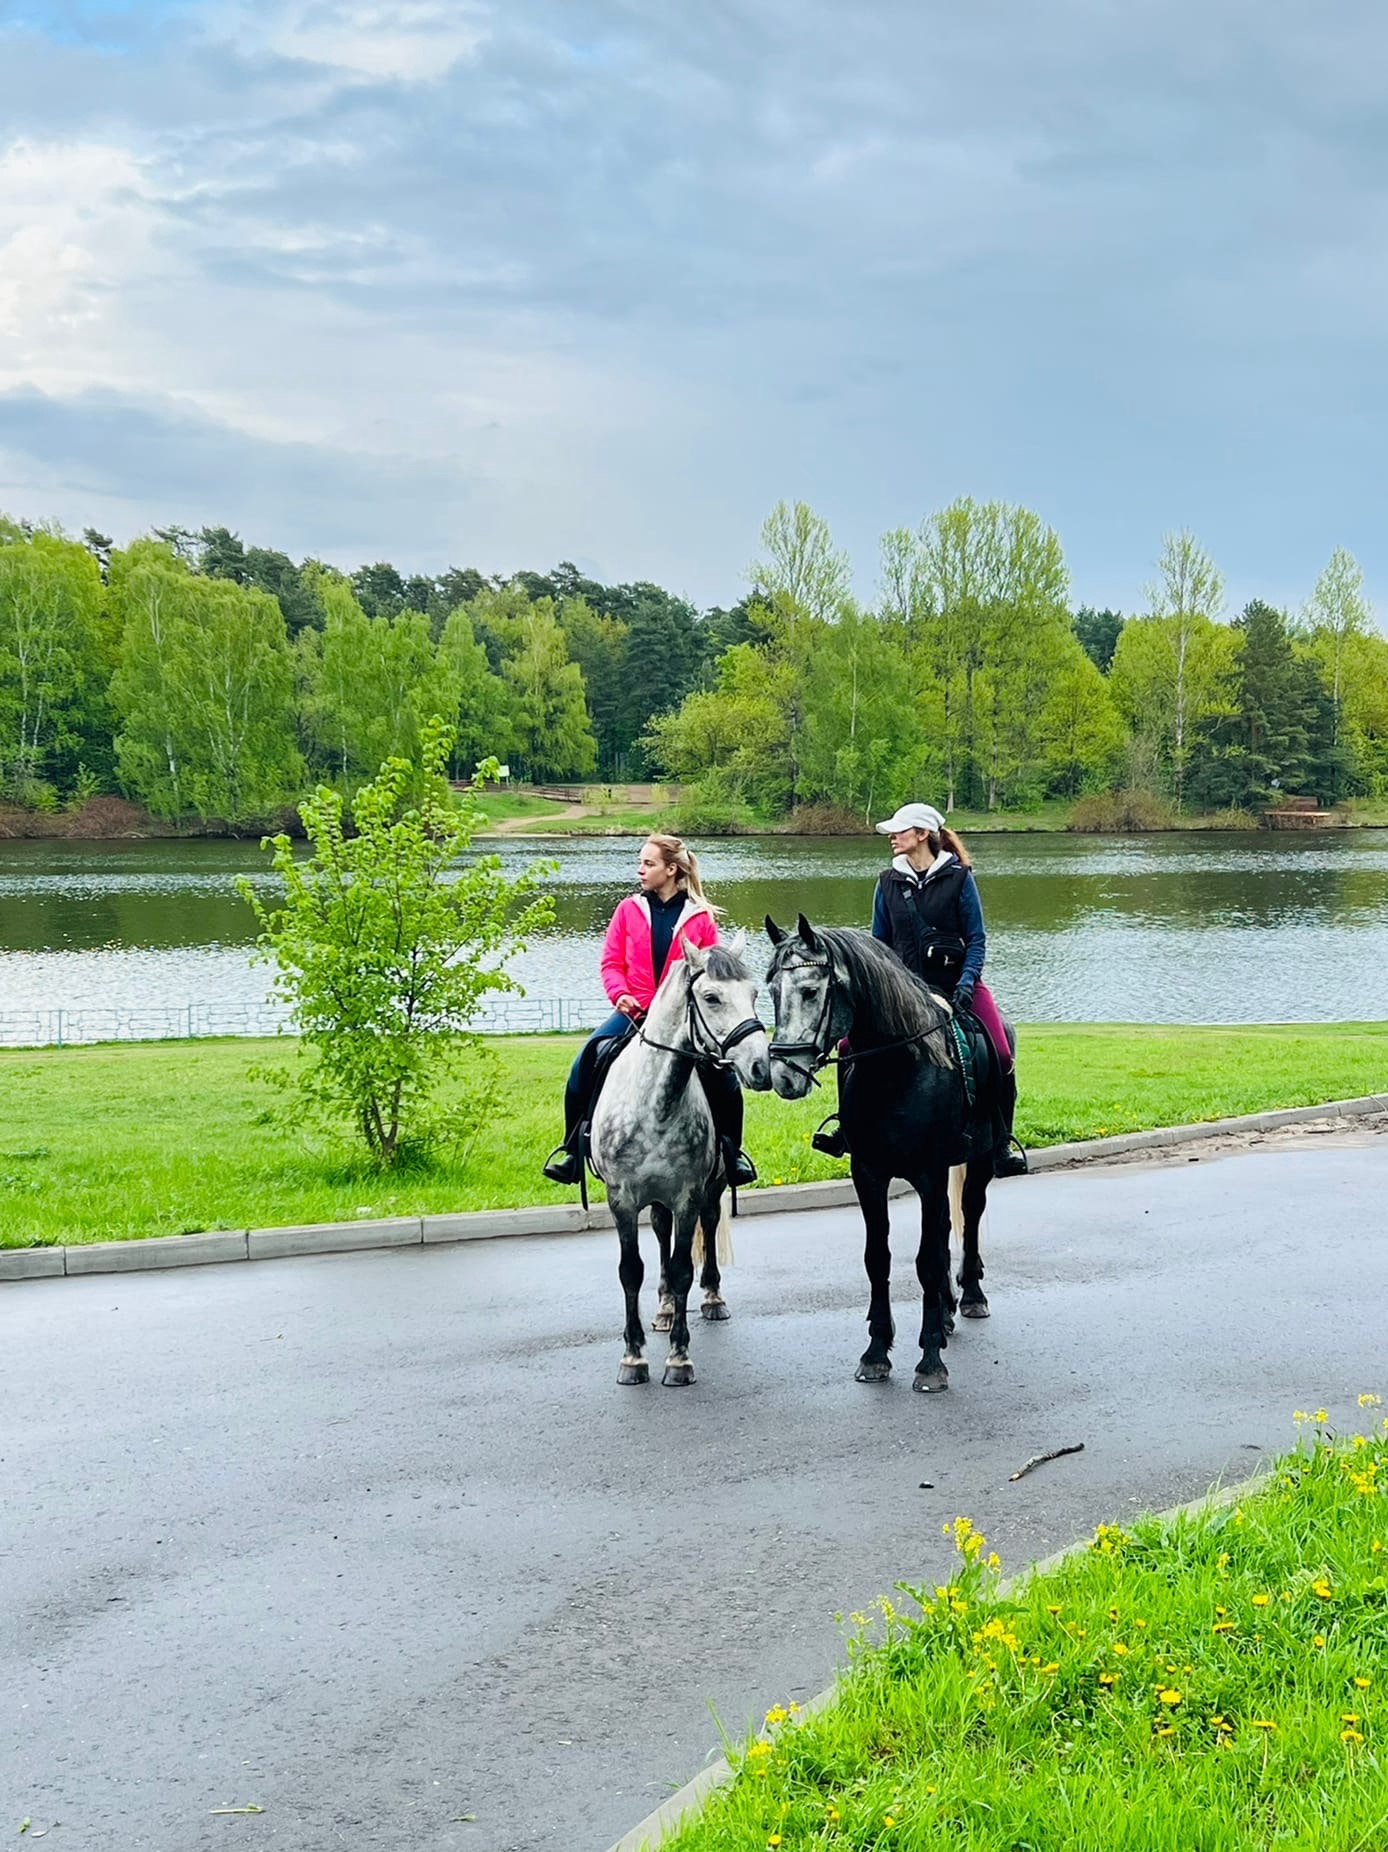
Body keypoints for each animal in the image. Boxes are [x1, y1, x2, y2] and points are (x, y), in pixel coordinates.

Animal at [589, 940, 774, 1392]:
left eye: (754, 994)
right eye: (711, 997)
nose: (761, 1066)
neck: (656, 1104)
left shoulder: (688, 1196)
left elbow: (682, 1269)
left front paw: (678, 1358)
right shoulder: (621, 1199)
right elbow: (631, 1271)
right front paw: (633, 1357)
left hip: (711, 1188)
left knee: (707, 1225)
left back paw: (711, 1298)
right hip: (655, 1199)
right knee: (659, 1231)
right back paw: (665, 1307)